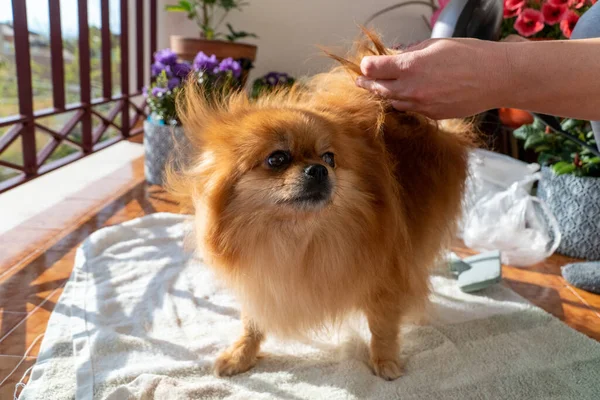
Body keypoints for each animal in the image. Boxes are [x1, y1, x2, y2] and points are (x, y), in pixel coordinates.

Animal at [168, 29, 474, 380]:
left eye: (329, 158)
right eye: (277, 159)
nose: (318, 169)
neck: (297, 238)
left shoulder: (385, 280)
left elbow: (383, 327)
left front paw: (385, 361)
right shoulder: (261, 282)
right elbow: (252, 323)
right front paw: (241, 355)